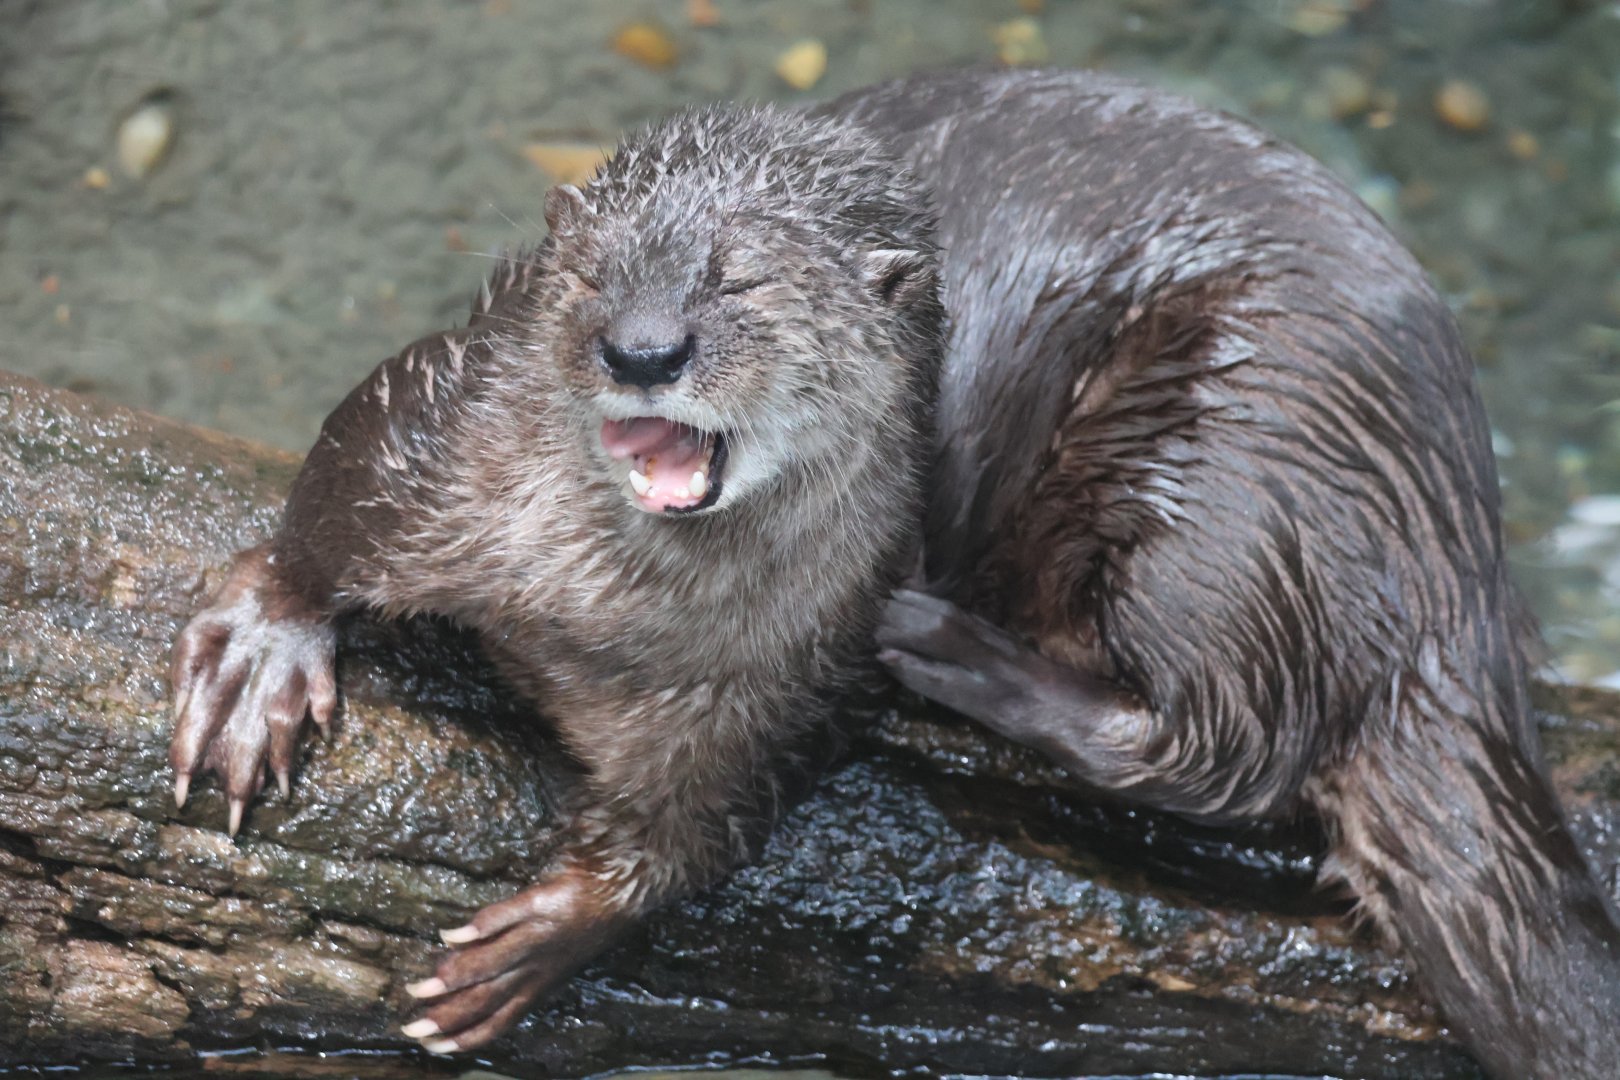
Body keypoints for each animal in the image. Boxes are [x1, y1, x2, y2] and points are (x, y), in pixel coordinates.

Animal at [169, 69, 1620, 1077]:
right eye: (588, 272)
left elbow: (711, 825)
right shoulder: (440, 432)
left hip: (1228, 470)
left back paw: (949, 645)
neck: (594, 620)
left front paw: (553, 932)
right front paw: (261, 650)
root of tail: (1452, 545)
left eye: (743, 281)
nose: (642, 348)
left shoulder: (791, 677)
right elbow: (334, 486)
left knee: (1234, 747)